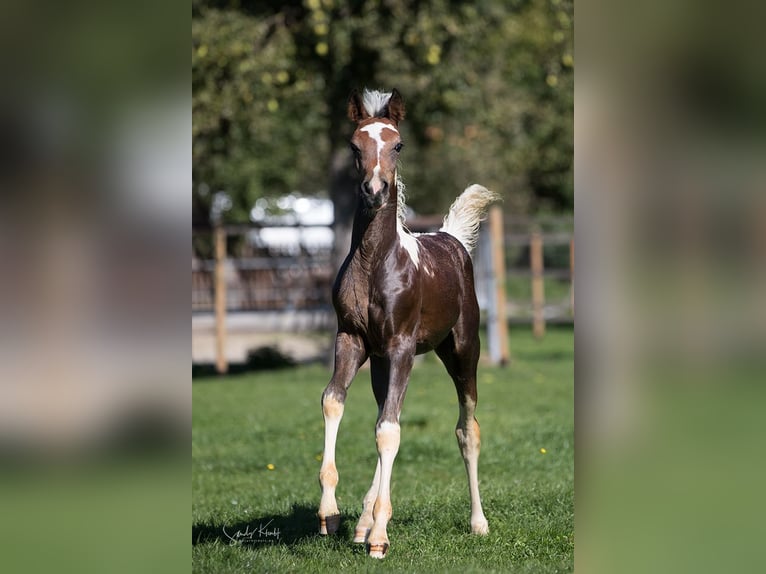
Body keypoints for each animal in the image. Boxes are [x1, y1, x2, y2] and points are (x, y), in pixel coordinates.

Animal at [317, 88, 498, 558]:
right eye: (354, 145)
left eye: (397, 145)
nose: (375, 190)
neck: (376, 262)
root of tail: (451, 237)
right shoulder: (352, 339)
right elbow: (337, 404)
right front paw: (331, 514)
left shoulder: (401, 345)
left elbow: (389, 432)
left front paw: (379, 538)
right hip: (383, 362)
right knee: (388, 414)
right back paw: (362, 521)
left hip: (462, 351)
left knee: (466, 429)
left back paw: (478, 523)